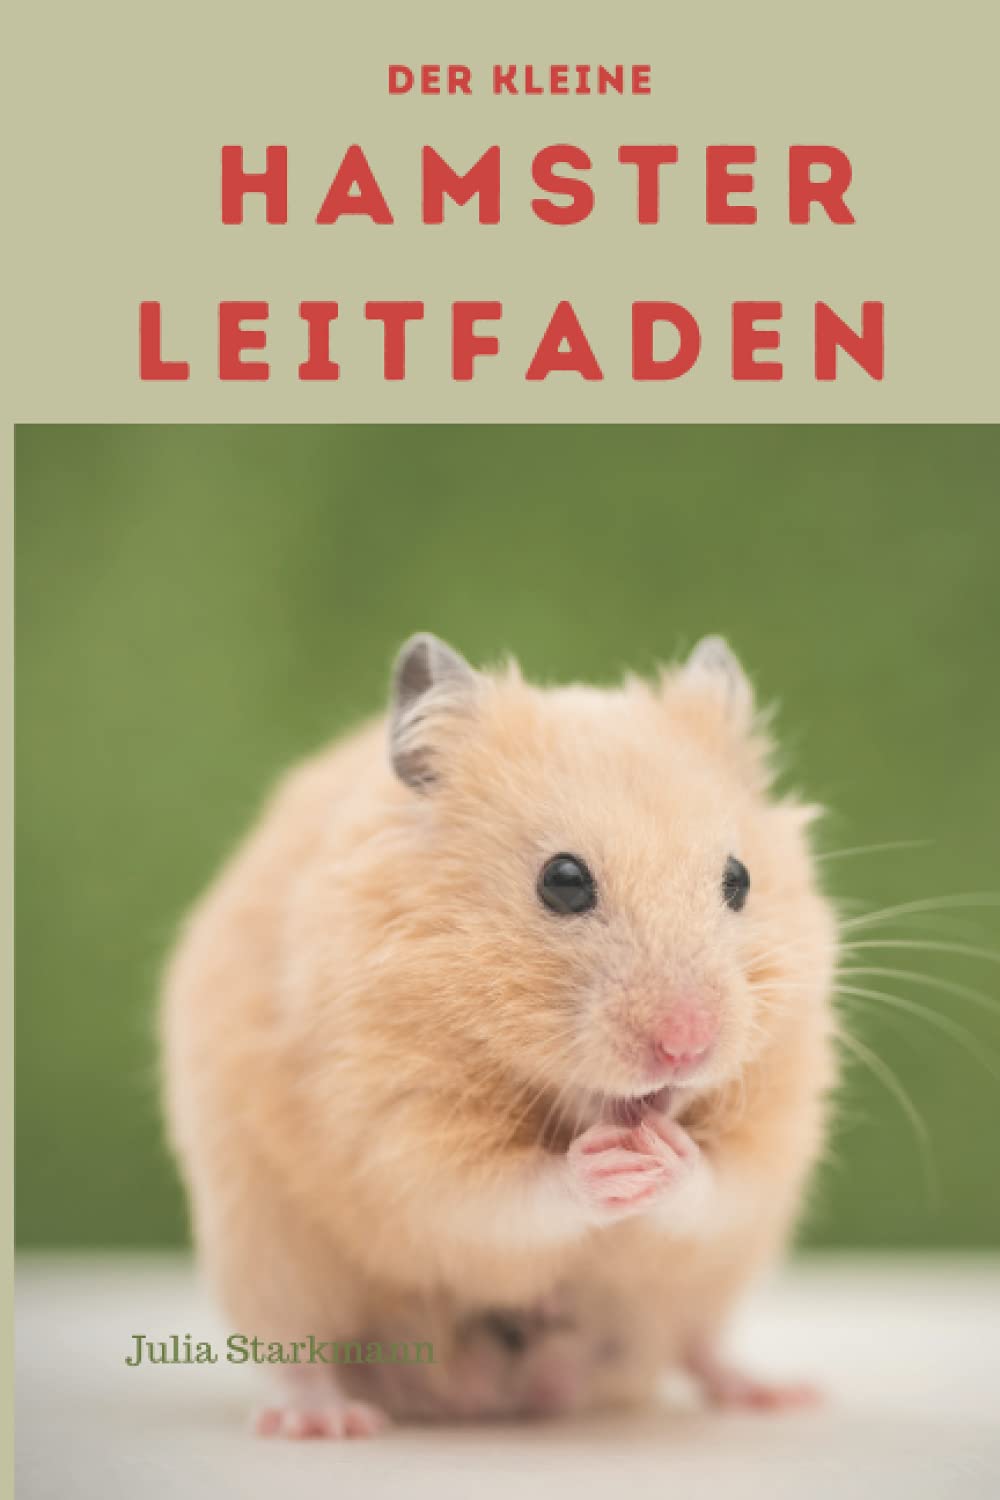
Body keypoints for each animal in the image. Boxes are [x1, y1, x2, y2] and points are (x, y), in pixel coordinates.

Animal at [161, 633, 838, 1438]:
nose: (687, 1046)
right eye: (563, 881)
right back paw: (325, 1420)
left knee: (697, 1343)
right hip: (266, 1252)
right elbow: (498, 1196)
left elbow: (721, 1182)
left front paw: (665, 1156)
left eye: (739, 879)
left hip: (710, 1282)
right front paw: (607, 1164)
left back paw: (778, 1393)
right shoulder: (395, 1129)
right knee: (296, 1352)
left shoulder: (777, 1127)